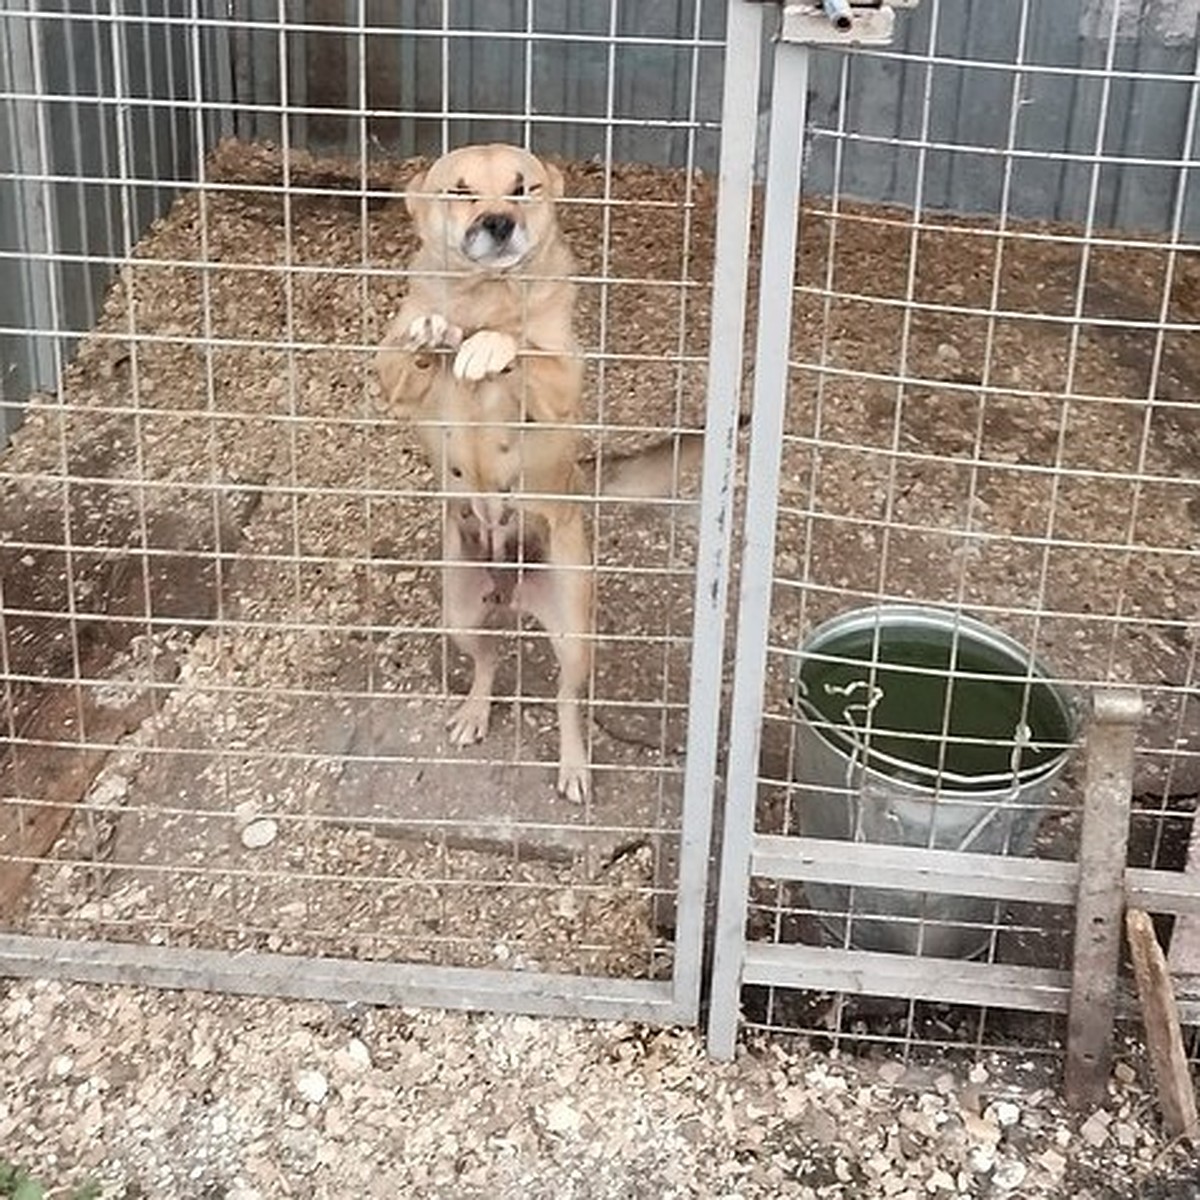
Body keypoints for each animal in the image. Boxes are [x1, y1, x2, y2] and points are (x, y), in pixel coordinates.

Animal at [374, 141, 580, 427]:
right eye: (461, 192)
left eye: (521, 190)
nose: (499, 223)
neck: (487, 288)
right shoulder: (393, 379)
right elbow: (403, 354)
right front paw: (429, 333)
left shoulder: (565, 383)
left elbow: (525, 348)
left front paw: (487, 346)